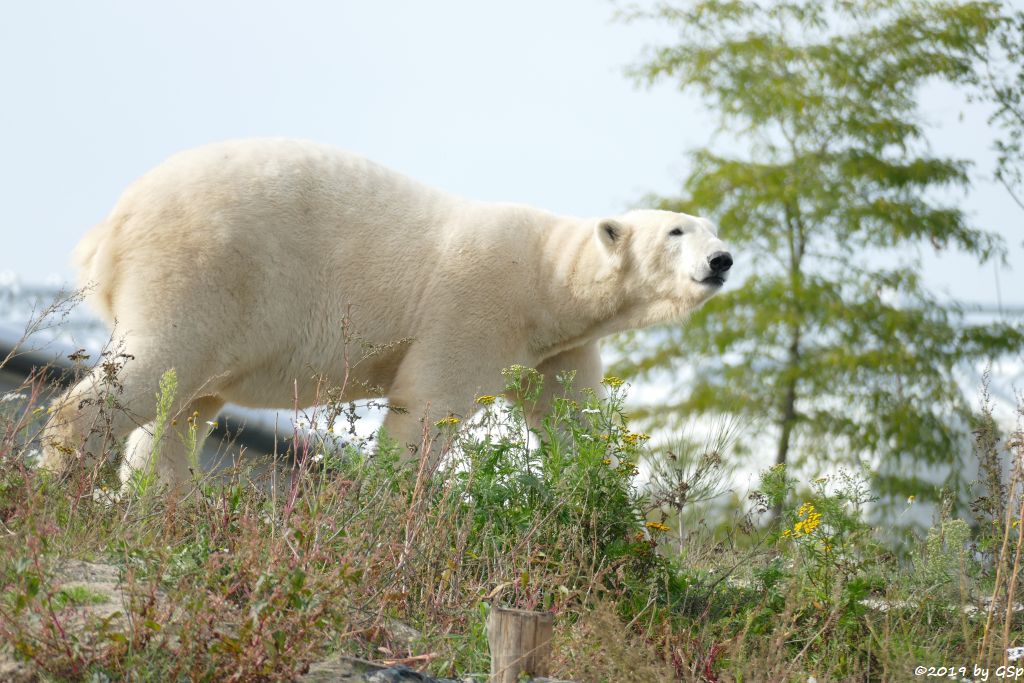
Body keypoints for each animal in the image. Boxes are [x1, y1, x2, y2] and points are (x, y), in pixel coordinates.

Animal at [39, 139, 729, 489]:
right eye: (677, 232)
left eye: (713, 228)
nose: (722, 259)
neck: (547, 279)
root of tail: (116, 220)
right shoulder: (476, 303)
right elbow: (427, 404)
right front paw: (392, 501)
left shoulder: (557, 348)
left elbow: (574, 420)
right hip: (206, 269)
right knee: (152, 369)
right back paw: (58, 481)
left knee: (184, 408)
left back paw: (160, 503)